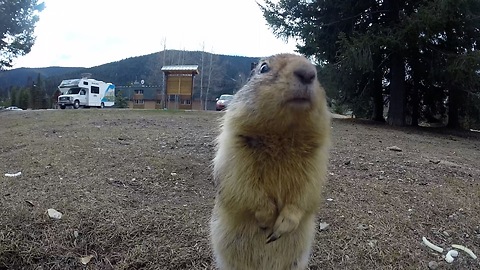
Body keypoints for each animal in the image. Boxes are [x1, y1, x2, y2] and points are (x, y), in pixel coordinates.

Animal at [210, 53, 330, 270]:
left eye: (316, 71)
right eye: (264, 68)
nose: (308, 72)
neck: (283, 135)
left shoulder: (315, 162)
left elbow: (305, 193)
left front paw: (283, 225)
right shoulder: (234, 152)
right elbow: (243, 186)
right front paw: (267, 219)